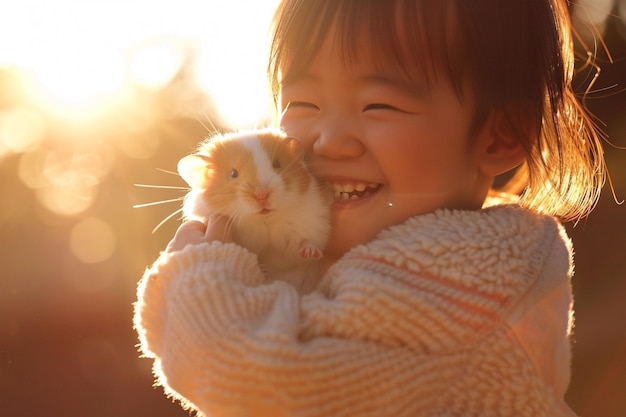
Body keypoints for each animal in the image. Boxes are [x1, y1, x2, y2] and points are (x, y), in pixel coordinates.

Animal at [177, 127, 332, 292]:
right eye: (233, 174)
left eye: (276, 164)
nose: (262, 195)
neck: (265, 220)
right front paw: (262, 269)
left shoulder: (313, 221)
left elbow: (308, 241)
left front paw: (310, 253)